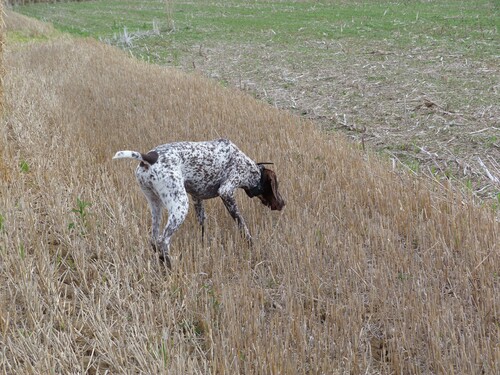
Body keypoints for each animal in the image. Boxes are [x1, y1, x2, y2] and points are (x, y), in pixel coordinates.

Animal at [114, 139, 286, 268]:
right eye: (276, 186)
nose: (283, 203)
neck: (249, 167)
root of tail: (148, 157)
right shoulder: (226, 191)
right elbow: (242, 225)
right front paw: (252, 246)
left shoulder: (197, 198)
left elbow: (202, 224)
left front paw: (204, 246)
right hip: (180, 205)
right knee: (164, 240)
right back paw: (171, 266)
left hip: (155, 205)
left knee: (154, 238)